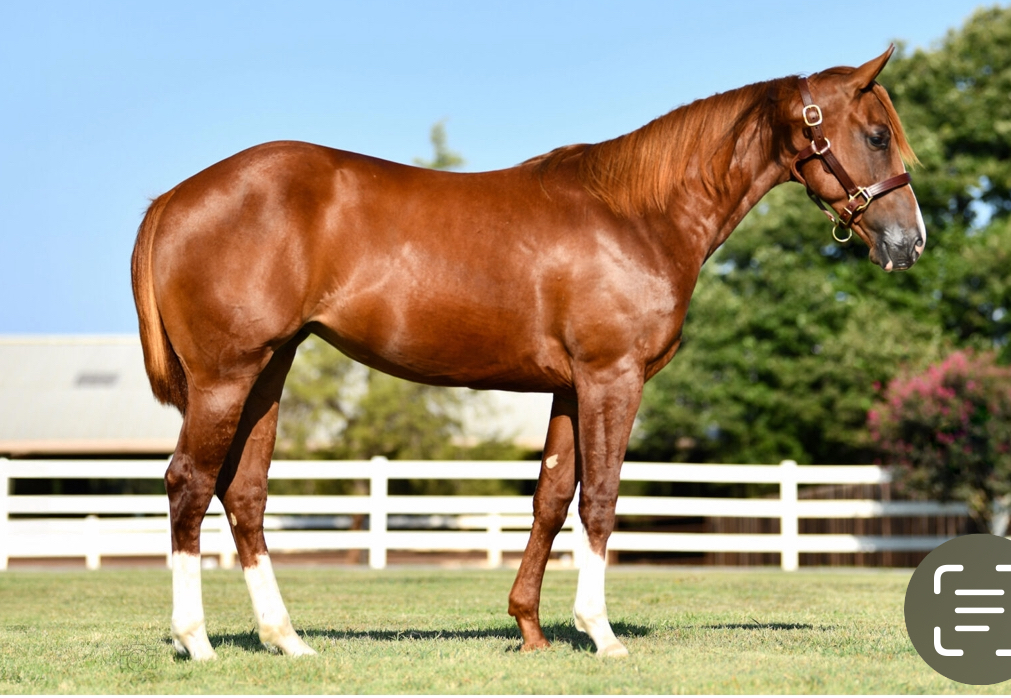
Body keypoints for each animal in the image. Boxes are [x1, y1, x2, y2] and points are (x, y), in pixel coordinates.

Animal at [131, 46, 924, 660]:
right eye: (875, 135)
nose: (908, 242)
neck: (636, 213)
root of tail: (173, 198)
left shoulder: (569, 388)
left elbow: (550, 498)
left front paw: (532, 629)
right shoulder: (612, 378)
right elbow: (599, 499)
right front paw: (600, 632)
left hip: (269, 370)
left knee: (244, 494)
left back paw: (286, 640)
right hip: (226, 377)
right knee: (188, 484)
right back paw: (195, 641)